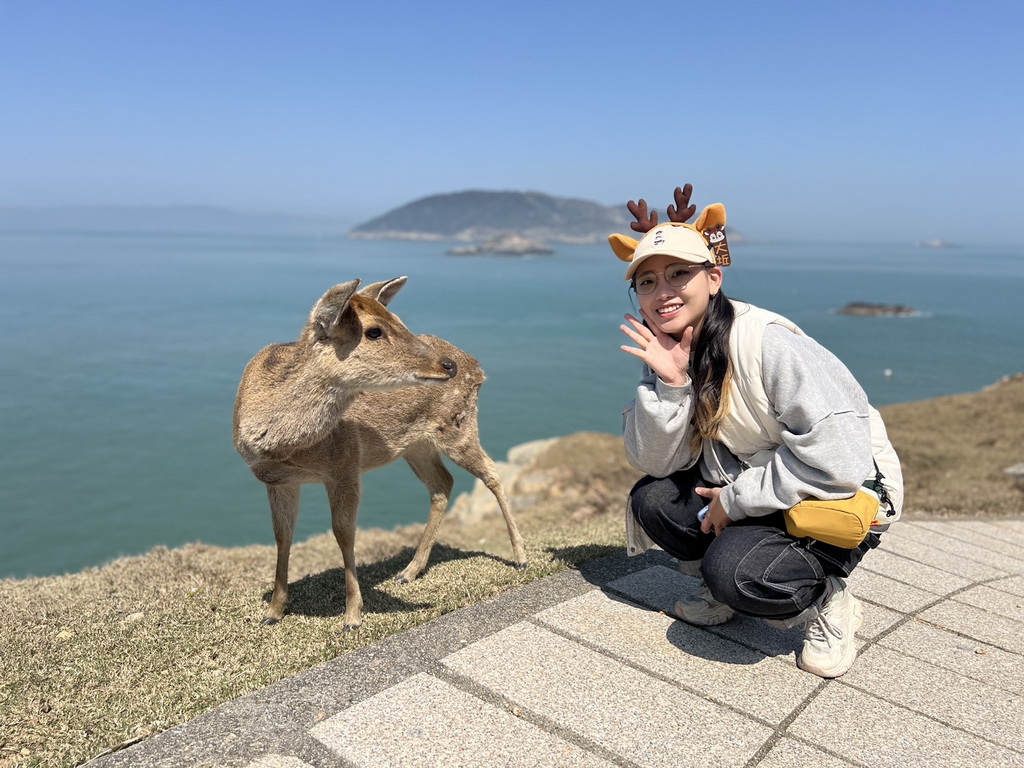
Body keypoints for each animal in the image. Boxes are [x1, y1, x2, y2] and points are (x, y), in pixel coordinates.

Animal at [233, 276, 528, 631]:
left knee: (492, 472)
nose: (448, 365)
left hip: (459, 427)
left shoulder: (344, 464)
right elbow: (282, 536)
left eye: (399, 320)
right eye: (374, 331)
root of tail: (477, 367)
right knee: (443, 484)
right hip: (416, 446)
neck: (277, 445)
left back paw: (521, 557)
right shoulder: (278, 480)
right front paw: (274, 611)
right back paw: (409, 571)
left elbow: (343, 533)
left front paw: (352, 616)